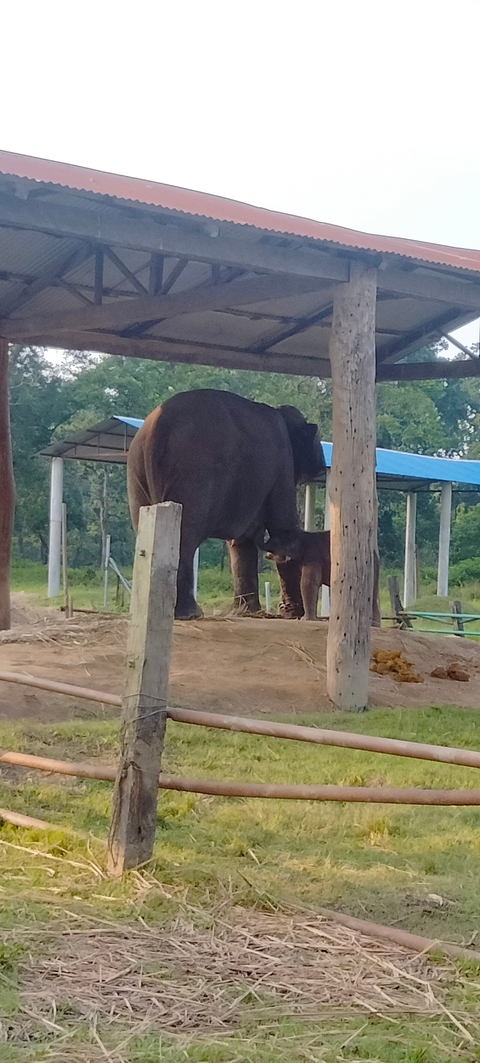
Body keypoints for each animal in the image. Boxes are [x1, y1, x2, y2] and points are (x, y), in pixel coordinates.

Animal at [127, 389, 323, 619]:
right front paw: (294, 614)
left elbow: (241, 541)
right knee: (186, 534)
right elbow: (282, 528)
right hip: (193, 473)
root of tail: (157, 426)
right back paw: (190, 613)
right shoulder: (283, 462)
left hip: (136, 471)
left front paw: (247, 611)